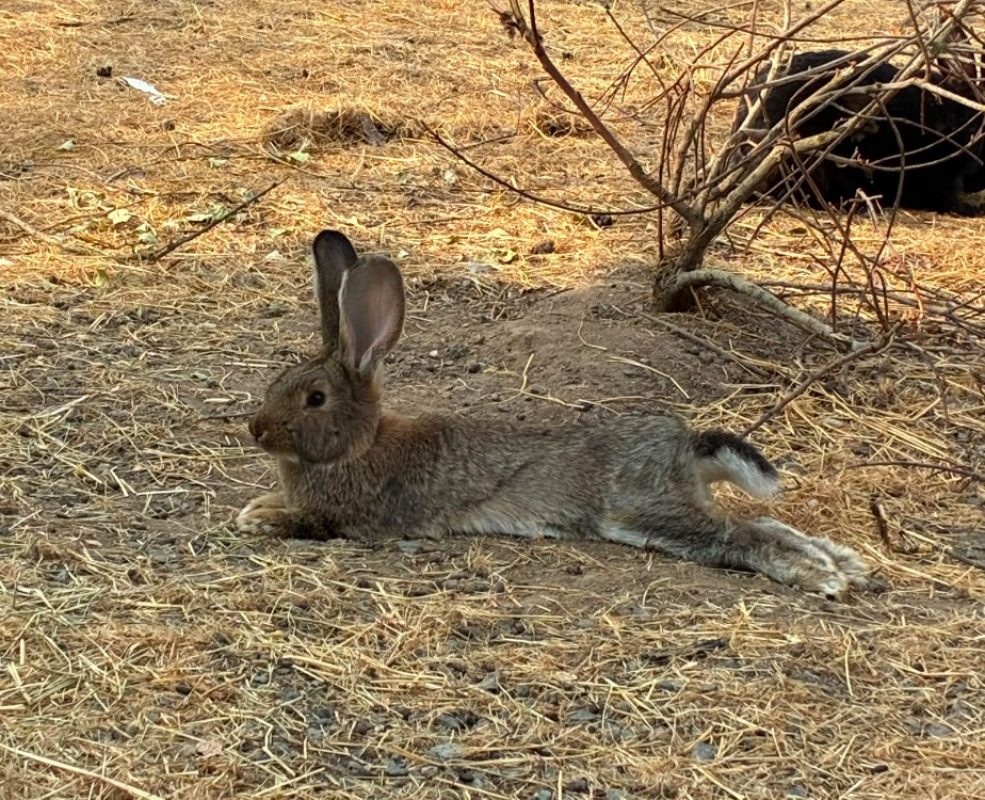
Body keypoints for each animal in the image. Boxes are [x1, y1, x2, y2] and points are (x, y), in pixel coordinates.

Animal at [237, 230, 873, 597]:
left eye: (315, 398)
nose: (256, 430)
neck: (357, 445)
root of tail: (683, 444)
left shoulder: (357, 518)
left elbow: (312, 524)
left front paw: (261, 519)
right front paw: (260, 505)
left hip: (644, 512)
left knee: (741, 536)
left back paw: (825, 578)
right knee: (764, 522)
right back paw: (848, 562)